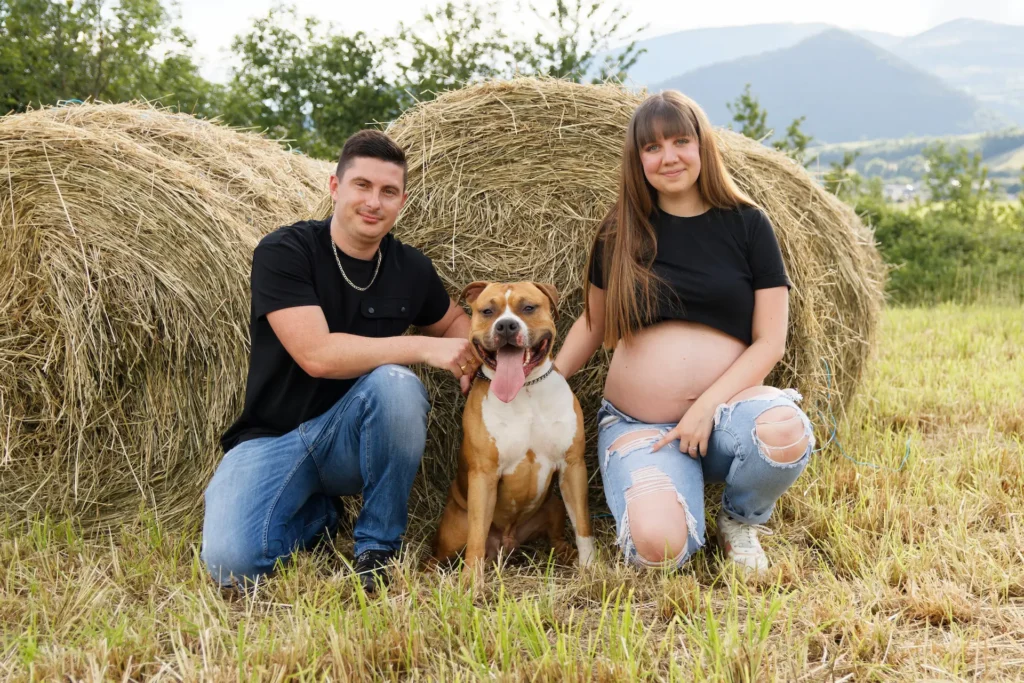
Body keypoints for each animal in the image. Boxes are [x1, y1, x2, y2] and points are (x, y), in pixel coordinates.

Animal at [430, 280, 593, 581]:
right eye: (487, 311)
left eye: (528, 307)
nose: (506, 325)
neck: (525, 390)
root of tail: (507, 541)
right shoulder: (484, 475)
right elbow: (477, 537)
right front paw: (471, 583)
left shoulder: (572, 465)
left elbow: (583, 525)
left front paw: (591, 567)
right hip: (452, 532)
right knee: (440, 557)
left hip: (553, 506)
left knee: (558, 539)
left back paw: (567, 554)